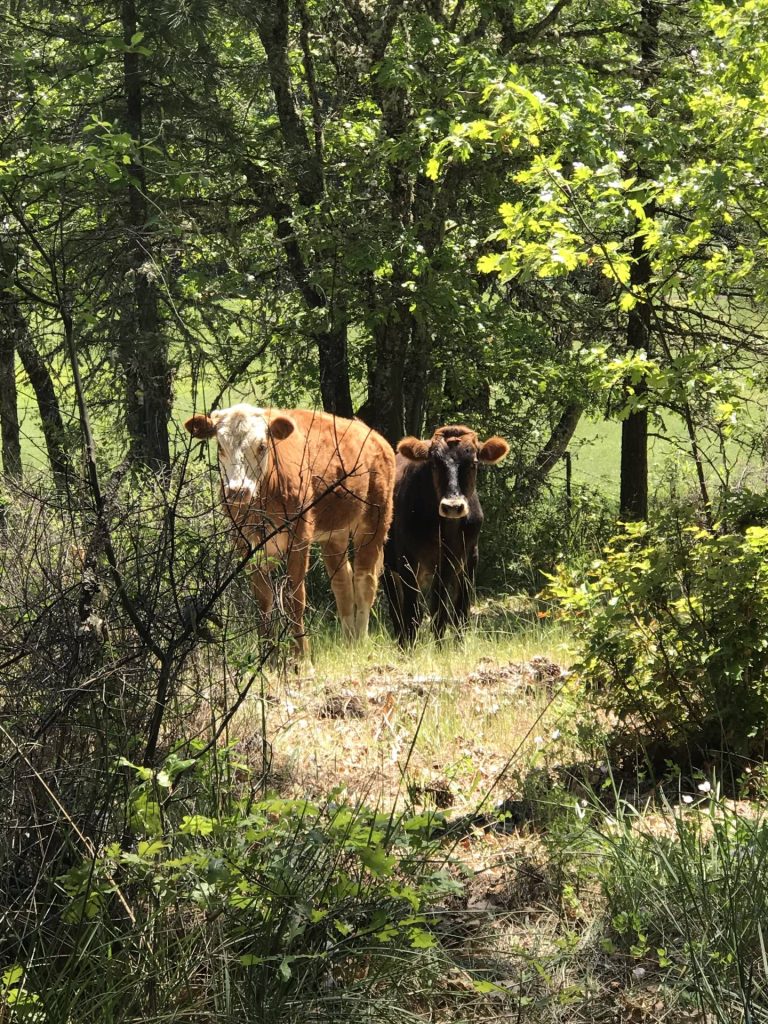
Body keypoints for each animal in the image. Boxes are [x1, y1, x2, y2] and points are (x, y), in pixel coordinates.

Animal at [185, 404, 395, 659]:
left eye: (262, 446)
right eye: (220, 446)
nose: (238, 491)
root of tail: (375, 436)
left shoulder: (299, 537)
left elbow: (295, 598)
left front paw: (302, 659)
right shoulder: (247, 546)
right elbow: (263, 600)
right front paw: (269, 659)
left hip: (376, 521)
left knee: (365, 580)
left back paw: (361, 642)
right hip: (335, 533)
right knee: (342, 582)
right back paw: (349, 642)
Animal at [383, 424, 509, 645]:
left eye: (473, 463)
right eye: (434, 464)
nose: (453, 506)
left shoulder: (466, 558)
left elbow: (455, 611)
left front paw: (453, 647)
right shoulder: (407, 560)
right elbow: (411, 613)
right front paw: (410, 648)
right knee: (396, 609)